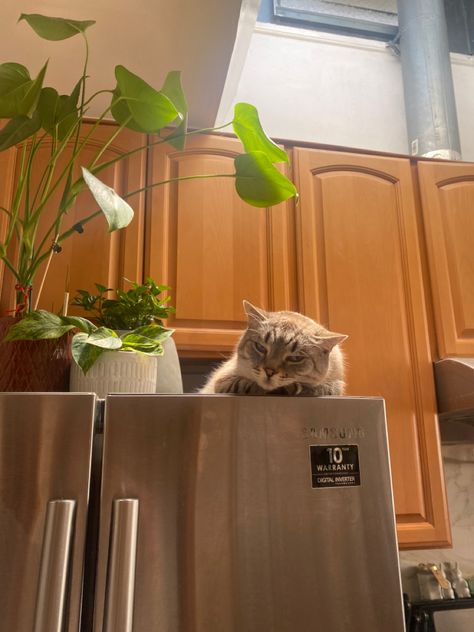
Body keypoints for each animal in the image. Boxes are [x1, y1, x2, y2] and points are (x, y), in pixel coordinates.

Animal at [198, 302, 346, 396]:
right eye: (260, 347)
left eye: (295, 358)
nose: (269, 371)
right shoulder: (223, 379)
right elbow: (245, 384)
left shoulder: (336, 385)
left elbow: (322, 388)